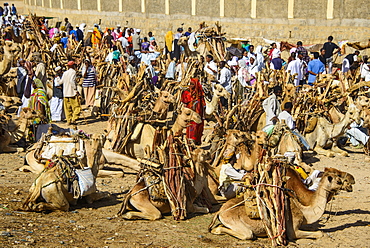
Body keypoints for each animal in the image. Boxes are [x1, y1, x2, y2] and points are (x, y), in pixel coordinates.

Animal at [210, 167, 354, 240]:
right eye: (338, 180)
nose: (352, 182)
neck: (304, 211)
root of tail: (220, 211)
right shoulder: (292, 230)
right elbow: (319, 233)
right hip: (236, 222)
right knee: (247, 234)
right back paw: (217, 230)